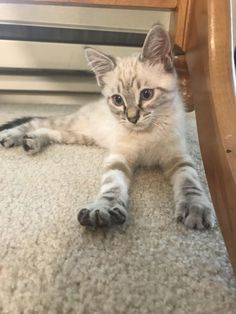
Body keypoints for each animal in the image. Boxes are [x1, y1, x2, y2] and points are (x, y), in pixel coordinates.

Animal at [0, 25, 215, 229]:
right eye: (118, 100)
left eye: (146, 94)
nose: (132, 118)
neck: (147, 133)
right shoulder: (119, 156)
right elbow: (112, 184)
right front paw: (103, 208)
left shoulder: (178, 157)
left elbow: (190, 182)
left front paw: (196, 208)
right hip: (77, 125)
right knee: (37, 122)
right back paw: (12, 135)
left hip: (82, 136)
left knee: (52, 132)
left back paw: (32, 140)